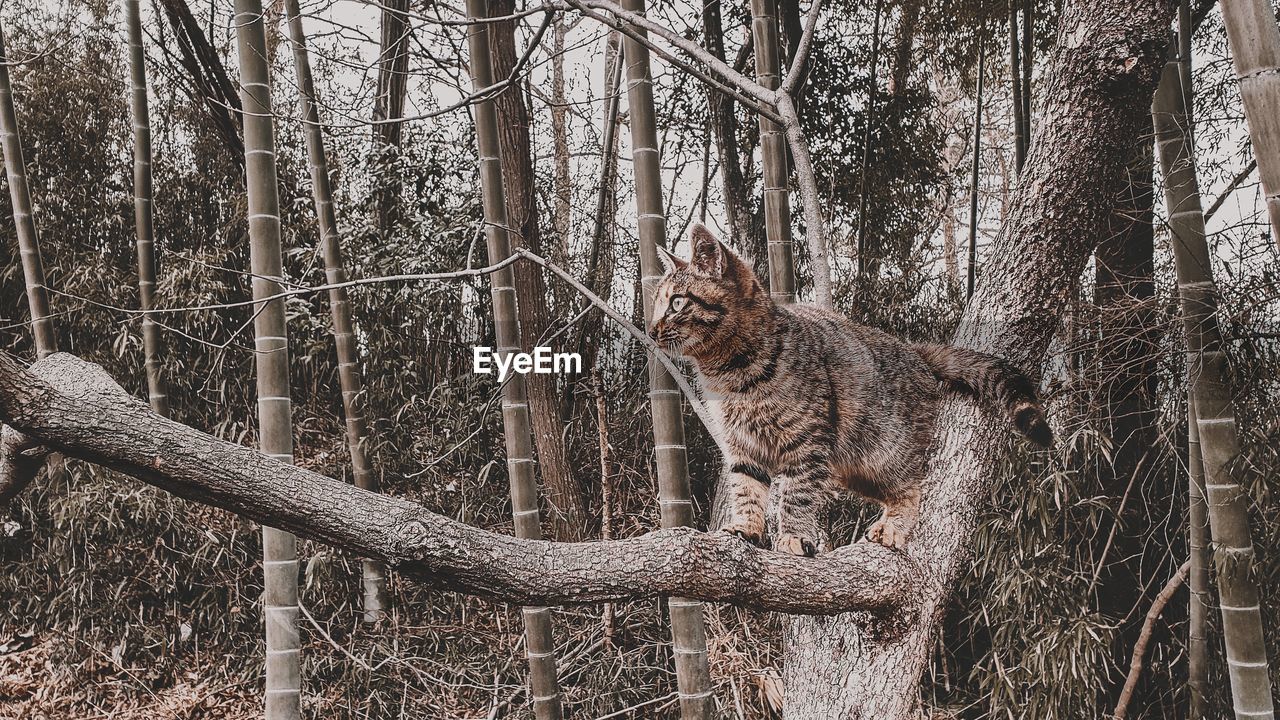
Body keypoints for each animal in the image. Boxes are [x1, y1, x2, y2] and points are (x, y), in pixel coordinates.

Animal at [650, 224, 1049, 556]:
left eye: (677, 302)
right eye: (657, 303)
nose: (651, 330)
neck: (725, 377)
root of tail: (914, 350)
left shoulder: (808, 443)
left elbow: (796, 496)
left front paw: (794, 536)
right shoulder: (741, 447)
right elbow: (746, 489)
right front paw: (746, 527)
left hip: (886, 451)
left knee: (912, 486)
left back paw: (891, 526)